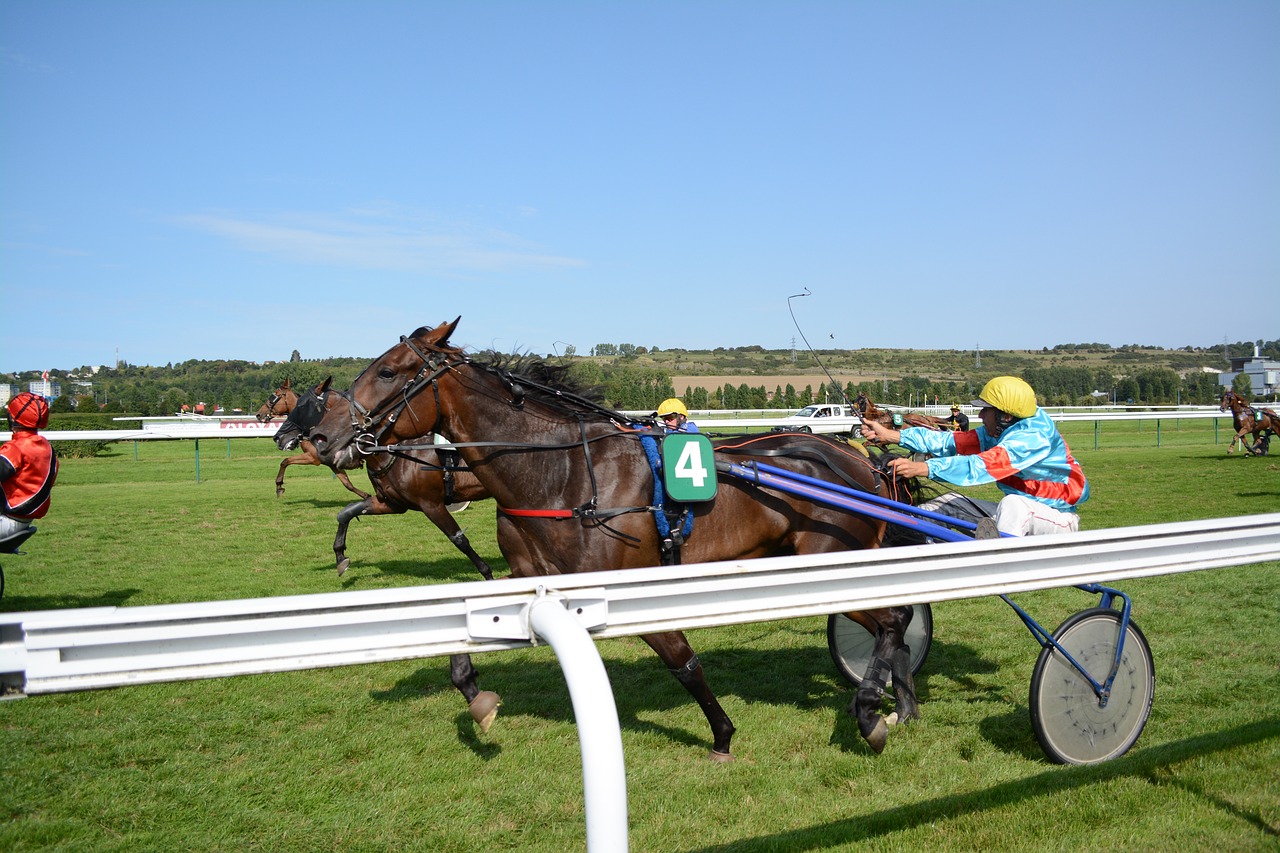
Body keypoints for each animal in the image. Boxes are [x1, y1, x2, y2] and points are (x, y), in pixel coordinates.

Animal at [279, 379, 494, 578]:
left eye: (301, 405)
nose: (279, 437)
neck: (396, 450)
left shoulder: (432, 505)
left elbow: (459, 539)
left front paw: (487, 574)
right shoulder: (393, 503)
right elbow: (347, 512)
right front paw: (340, 556)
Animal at [311, 318, 926, 758]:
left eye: (389, 372)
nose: (321, 437)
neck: (562, 473)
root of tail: (864, 463)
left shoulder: (625, 582)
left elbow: (682, 661)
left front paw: (722, 734)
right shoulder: (532, 573)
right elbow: (468, 636)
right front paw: (476, 695)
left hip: (831, 561)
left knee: (895, 619)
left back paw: (872, 711)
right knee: (896, 621)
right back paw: (903, 704)